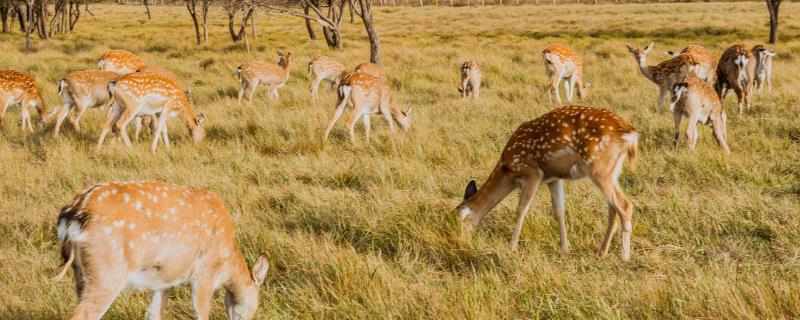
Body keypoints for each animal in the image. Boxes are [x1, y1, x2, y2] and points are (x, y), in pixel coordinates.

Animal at [55, 181, 272, 320]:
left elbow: (153, 314)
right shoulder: (205, 272)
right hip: (108, 271)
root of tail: (74, 213)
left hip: (81, 273)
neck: (228, 263)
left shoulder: (166, 279)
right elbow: (202, 312)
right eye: (256, 306)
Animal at [456, 106, 636, 262]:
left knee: (625, 204)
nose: (460, 244)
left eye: (457, 221)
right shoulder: (553, 178)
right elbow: (559, 210)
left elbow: (521, 209)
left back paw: (624, 257)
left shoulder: (533, 173)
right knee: (613, 208)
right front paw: (565, 251)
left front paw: (512, 248)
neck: (507, 170)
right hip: (612, 171)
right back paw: (601, 252)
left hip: (598, 167)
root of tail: (631, 134)